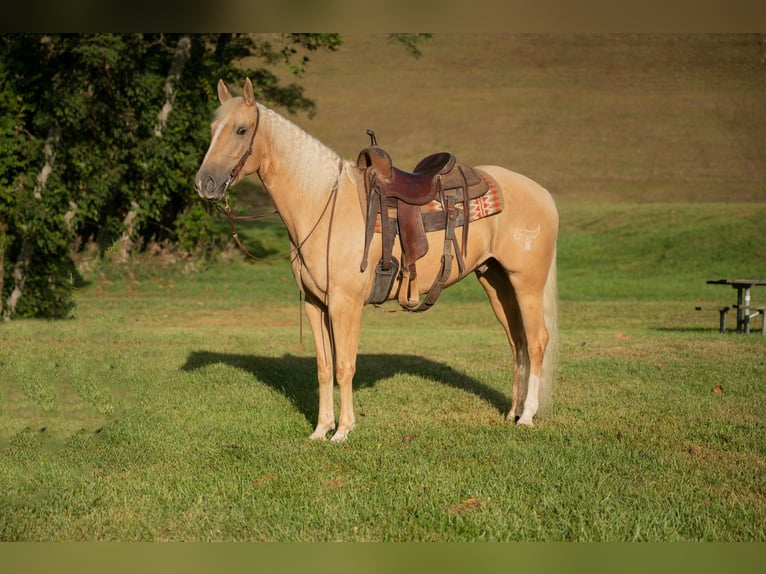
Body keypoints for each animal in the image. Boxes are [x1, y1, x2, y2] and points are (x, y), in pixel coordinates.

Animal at [195, 77, 560, 446]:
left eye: (241, 129)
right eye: (212, 129)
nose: (204, 182)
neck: (323, 205)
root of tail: (542, 193)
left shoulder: (345, 305)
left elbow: (345, 366)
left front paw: (343, 430)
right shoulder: (315, 304)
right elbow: (324, 367)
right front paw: (320, 430)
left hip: (527, 283)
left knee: (537, 341)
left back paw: (527, 416)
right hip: (496, 282)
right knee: (517, 342)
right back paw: (511, 413)